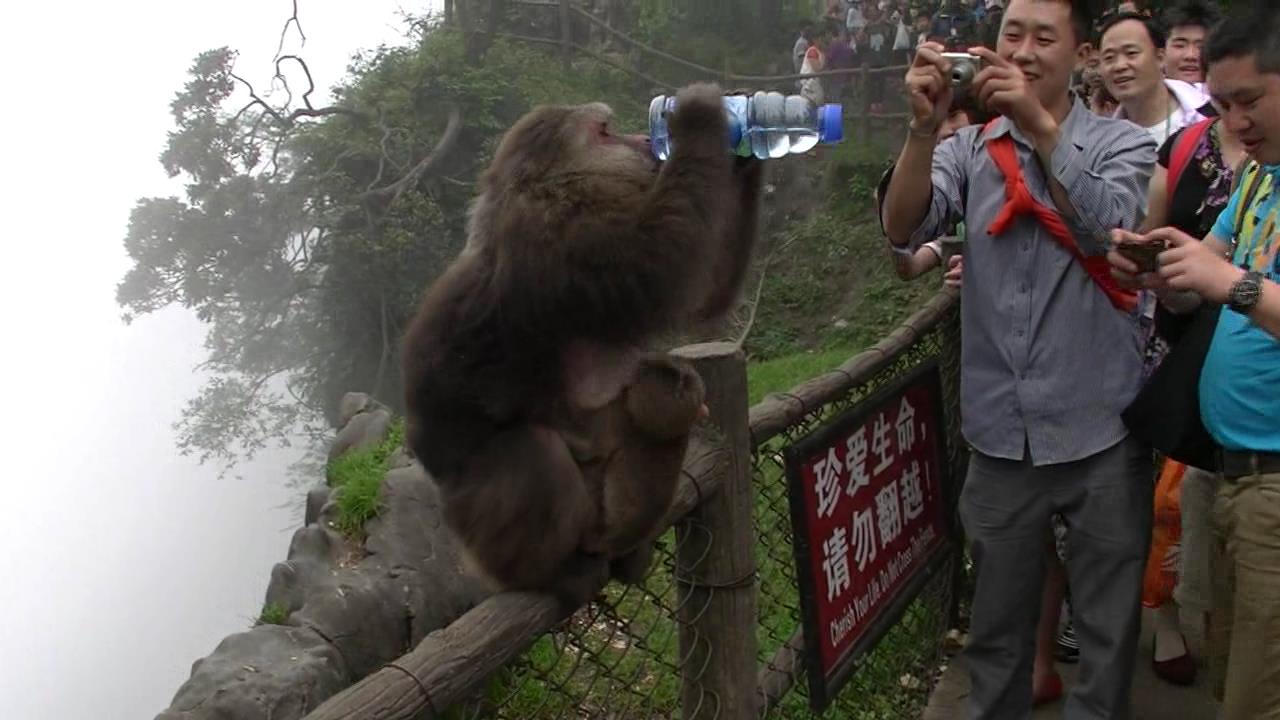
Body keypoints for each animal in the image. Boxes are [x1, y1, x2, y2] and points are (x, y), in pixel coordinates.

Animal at [399, 81, 757, 604]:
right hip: (481, 534)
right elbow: (657, 266)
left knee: (651, 397)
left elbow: (701, 298)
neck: (566, 184)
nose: (642, 136)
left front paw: (747, 149)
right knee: (531, 450)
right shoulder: (560, 236)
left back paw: (625, 545)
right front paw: (699, 117)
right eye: (599, 129)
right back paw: (553, 573)